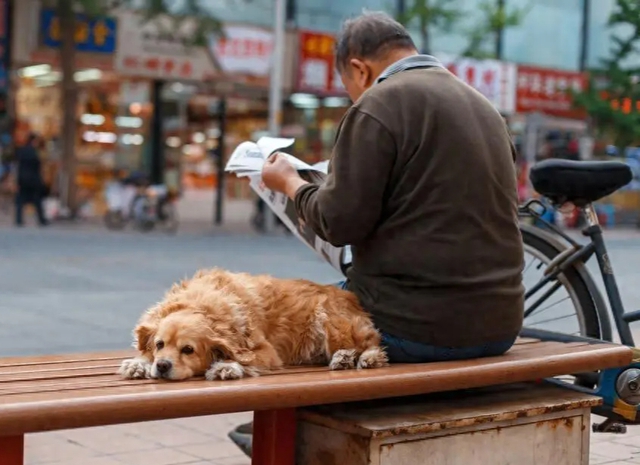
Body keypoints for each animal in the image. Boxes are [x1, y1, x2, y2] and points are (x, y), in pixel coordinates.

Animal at [119, 266, 390, 378]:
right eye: (159, 345)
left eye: (188, 350)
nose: (162, 366)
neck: (201, 304)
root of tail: (351, 297)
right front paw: (138, 363)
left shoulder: (268, 352)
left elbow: (242, 359)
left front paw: (226, 367)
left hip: (329, 320)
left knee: (372, 343)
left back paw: (359, 358)